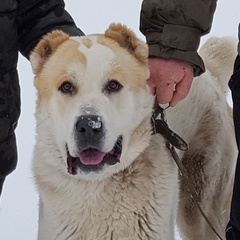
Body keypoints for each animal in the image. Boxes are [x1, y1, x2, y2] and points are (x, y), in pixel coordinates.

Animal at [30, 23, 238, 240]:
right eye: (66, 86)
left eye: (113, 85)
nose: (89, 125)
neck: (96, 185)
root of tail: (210, 75)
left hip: (200, 206)